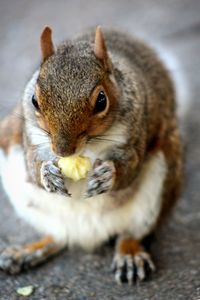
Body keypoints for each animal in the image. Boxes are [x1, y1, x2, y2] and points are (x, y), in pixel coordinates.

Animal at [0, 25, 183, 284]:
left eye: (101, 101)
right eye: (34, 100)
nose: (63, 151)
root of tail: (86, 234)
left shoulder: (137, 131)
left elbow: (130, 168)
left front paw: (108, 175)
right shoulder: (30, 137)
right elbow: (32, 165)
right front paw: (47, 173)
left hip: (158, 186)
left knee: (131, 233)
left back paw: (129, 254)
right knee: (58, 237)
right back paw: (26, 252)